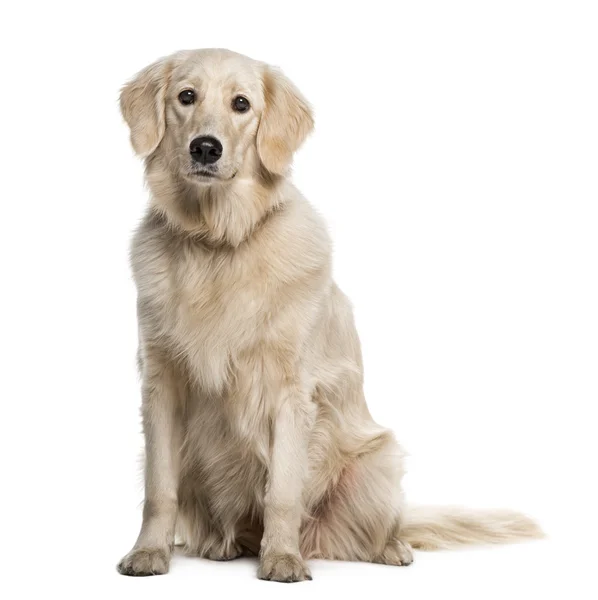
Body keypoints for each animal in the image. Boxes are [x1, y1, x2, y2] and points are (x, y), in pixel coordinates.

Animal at [117, 48, 544, 580]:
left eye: (242, 104)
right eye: (186, 96)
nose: (206, 148)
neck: (218, 242)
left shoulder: (290, 392)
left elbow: (282, 491)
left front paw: (282, 558)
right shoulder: (161, 385)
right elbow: (159, 489)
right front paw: (148, 552)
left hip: (377, 461)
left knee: (378, 527)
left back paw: (388, 548)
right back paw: (224, 543)